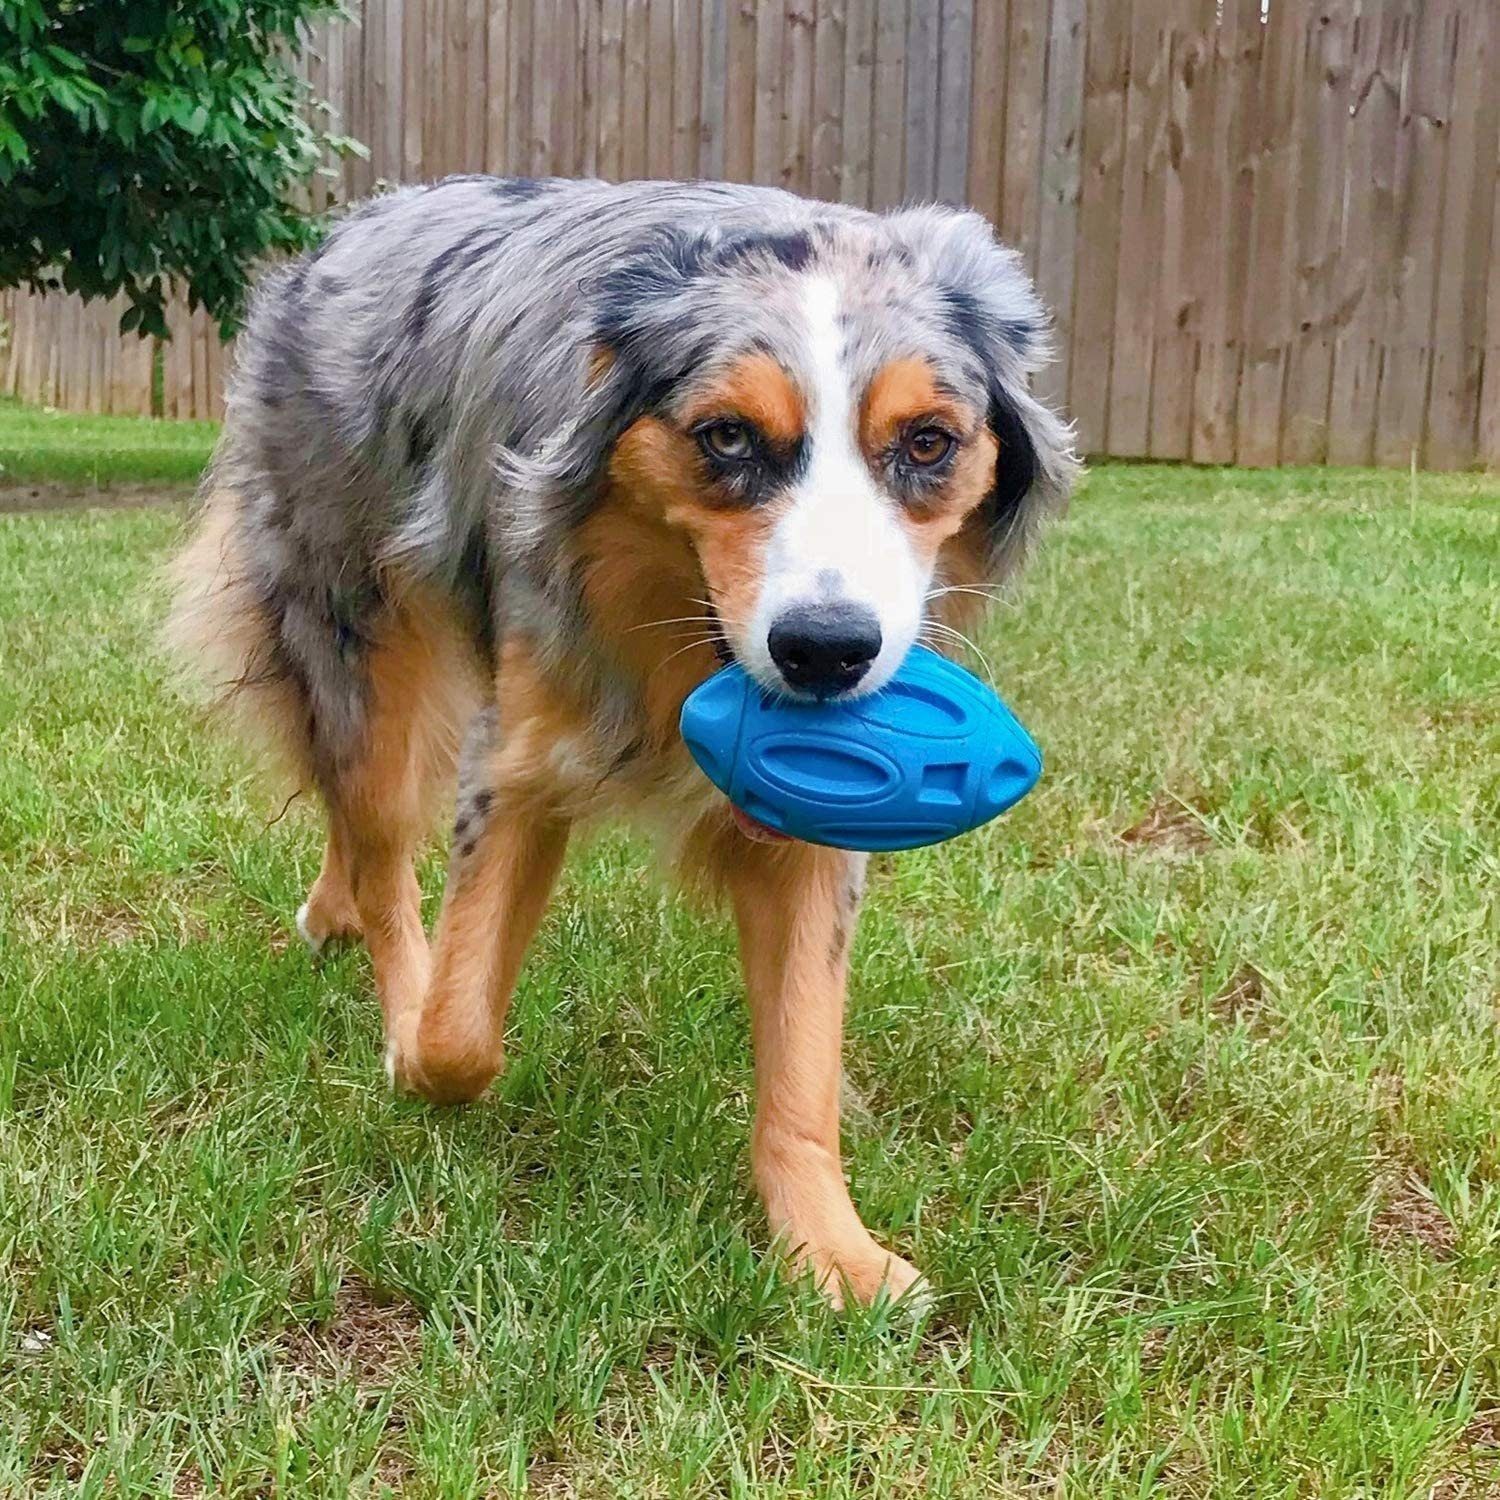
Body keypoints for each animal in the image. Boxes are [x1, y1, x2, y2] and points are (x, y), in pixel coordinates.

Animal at [167, 172, 1080, 1302]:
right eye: (726, 436)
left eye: (927, 443)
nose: (825, 651)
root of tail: (354, 223)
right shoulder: (519, 753)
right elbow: (461, 1036)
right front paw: (415, 1043)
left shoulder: (818, 814)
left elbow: (802, 1060)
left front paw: (834, 1252)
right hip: (356, 630)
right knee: (376, 833)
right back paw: (380, 949)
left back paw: (330, 913)